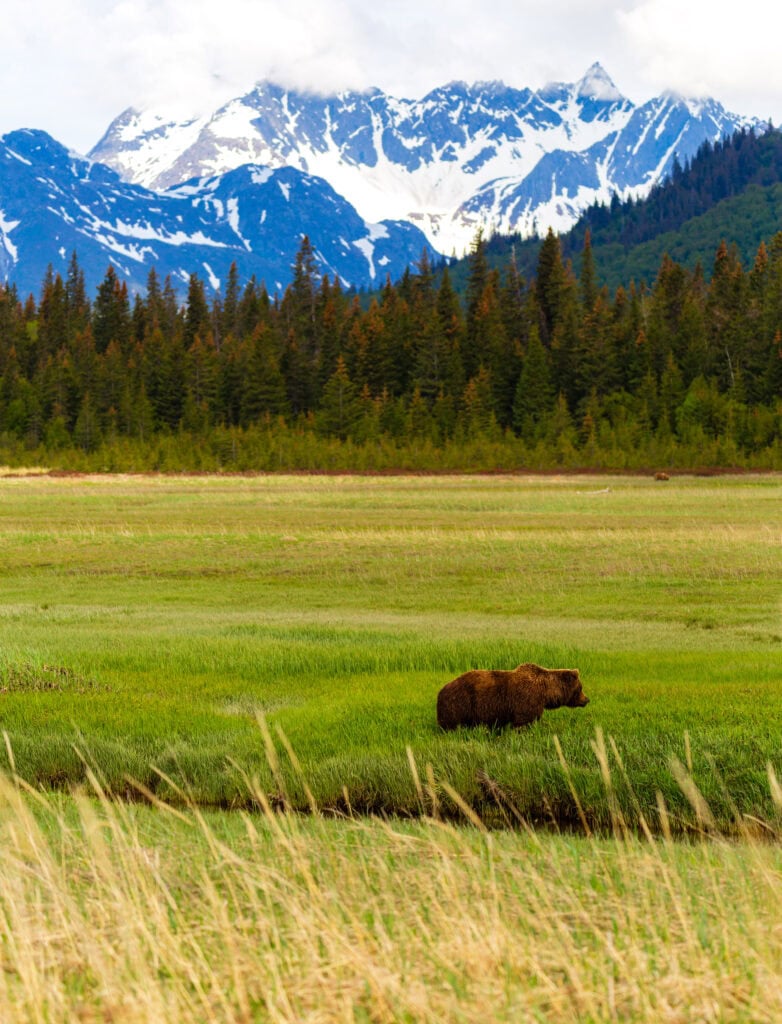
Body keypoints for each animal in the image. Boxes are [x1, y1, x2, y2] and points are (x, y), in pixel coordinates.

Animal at [436, 663, 588, 731]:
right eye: (580, 688)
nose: (587, 699)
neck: (545, 693)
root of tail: (441, 690)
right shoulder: (526, 701)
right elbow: (524, 722)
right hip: (459, 704)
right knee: (453, 724)